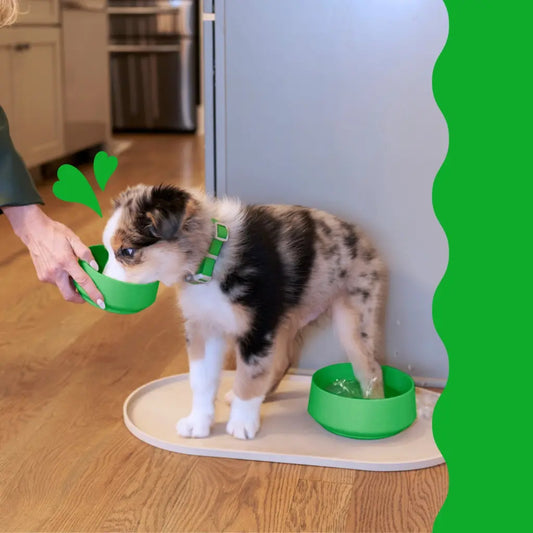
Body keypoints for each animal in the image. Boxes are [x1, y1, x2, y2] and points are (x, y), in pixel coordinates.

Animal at [103, 185, 386, 438]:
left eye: (127, 251)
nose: (102, 293)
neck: (211, 259)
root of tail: (365, 241)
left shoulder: (257, 329)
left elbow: (249, 378)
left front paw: (241, 425)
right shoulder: (204, 327)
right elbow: (202, 380)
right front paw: (198, 423)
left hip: (354, 317)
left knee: (371, 368)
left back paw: (373, 415)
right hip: (284, 320)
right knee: (282, 361)